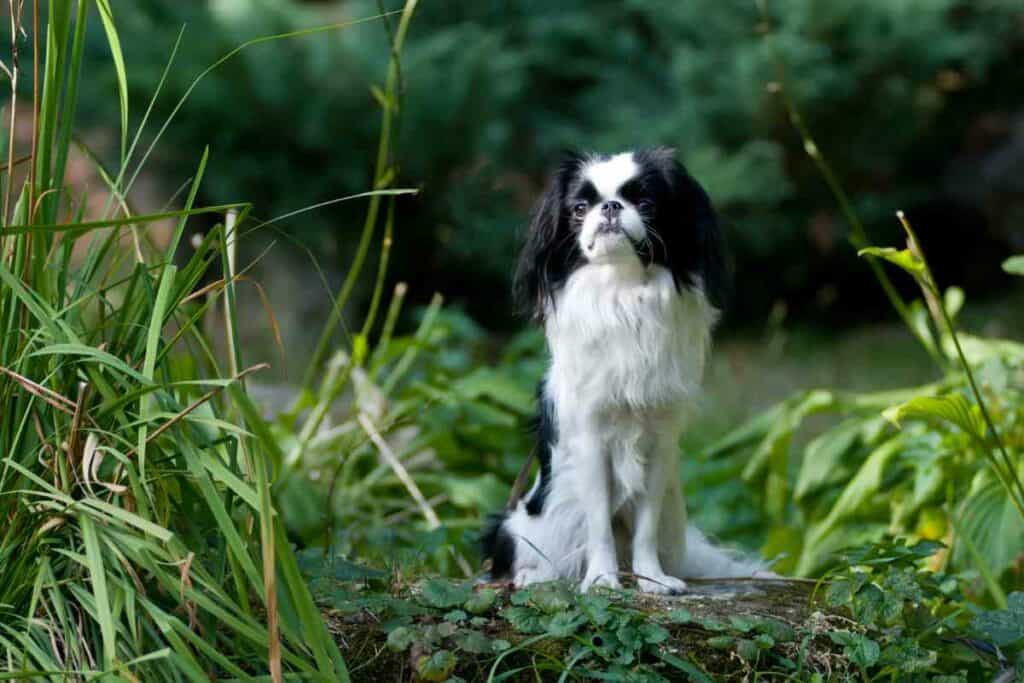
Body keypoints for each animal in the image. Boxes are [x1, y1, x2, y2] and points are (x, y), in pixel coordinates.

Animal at [481, 148, 770, 593]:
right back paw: (535, 575)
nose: (611, 207)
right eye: (579, 209)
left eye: (646, 203)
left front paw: (652, 580)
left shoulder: (659, 443)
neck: (623, 289)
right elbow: (598, 522)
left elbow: (644, 526)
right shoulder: (591, 440)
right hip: (527, 520)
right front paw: (603, 579)